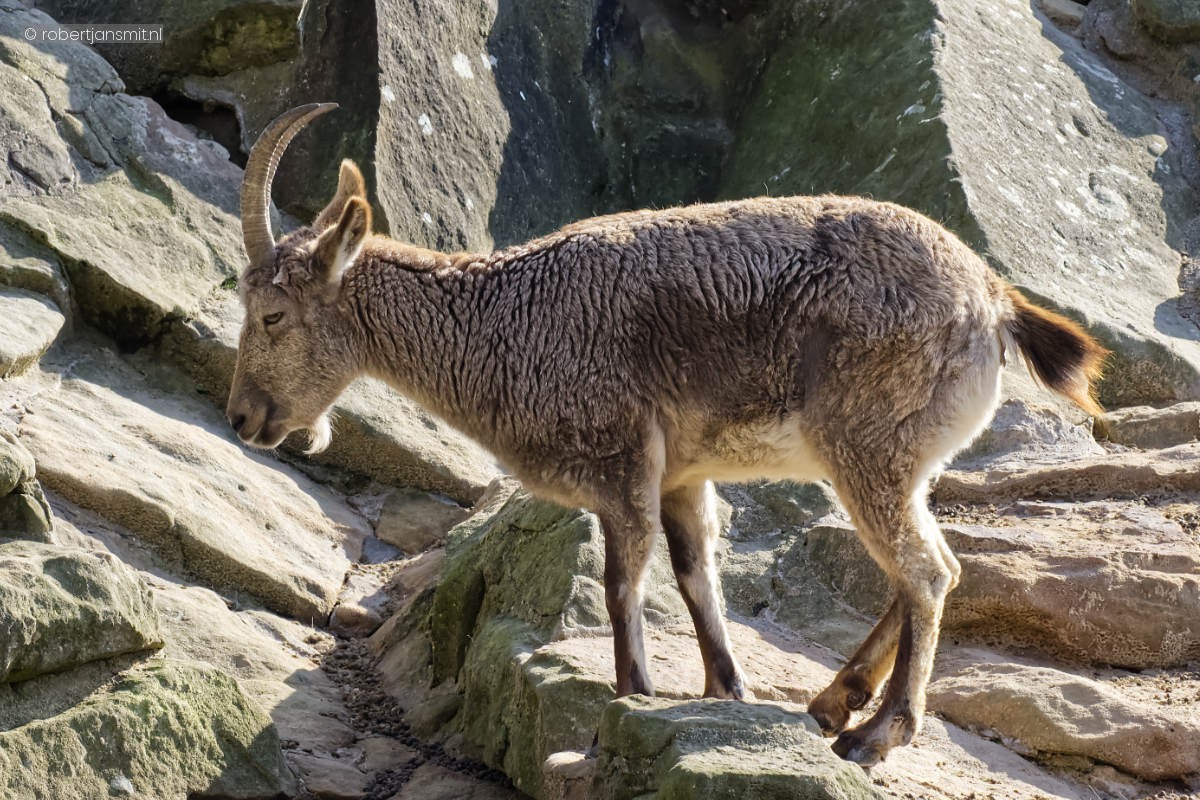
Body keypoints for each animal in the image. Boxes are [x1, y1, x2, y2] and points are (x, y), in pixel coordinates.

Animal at [226, 104, 1106, 766]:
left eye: (271, 314)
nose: (242, 416)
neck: (502, 322)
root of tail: (992, 300)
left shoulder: (621, 458)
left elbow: (624, 579)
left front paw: (631, 695)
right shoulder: (681, 472)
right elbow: (694, 575)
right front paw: (724, 690)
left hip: (869, 446)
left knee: (928, 570)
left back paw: (876, 733)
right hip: (896, 460)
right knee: (927, 568)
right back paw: (832, 704)